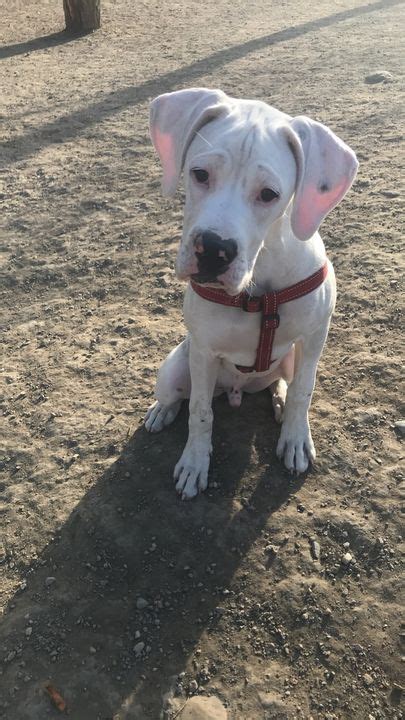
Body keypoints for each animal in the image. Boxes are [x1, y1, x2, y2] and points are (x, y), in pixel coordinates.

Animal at [143, 86, 356, 500]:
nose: (213, 249)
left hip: (288, 359)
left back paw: (280, 402)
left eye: (269, 194)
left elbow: (304, 390)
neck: (259, 286)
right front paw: (195, 463)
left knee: (283, 385)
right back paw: (162, 410)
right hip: (177, 368)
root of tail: (238, 389)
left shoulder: (314, 337)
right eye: (200, 174)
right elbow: (201, 413)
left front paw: (295, 439)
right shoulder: (204, 351)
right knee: (181, 397)